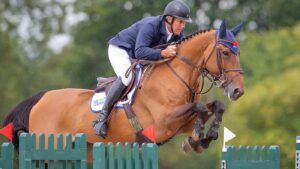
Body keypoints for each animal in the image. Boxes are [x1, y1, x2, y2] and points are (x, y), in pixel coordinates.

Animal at [2, 20, 244, 162]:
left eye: (237, 52)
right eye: (224, 52)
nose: (238, 91)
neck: (177, 75)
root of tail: (41, 98)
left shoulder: (180, 124)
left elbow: (214, 106)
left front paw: (200, 139)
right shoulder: (164, 123)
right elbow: (201, 106)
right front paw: (198, 138)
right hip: (48, 148)